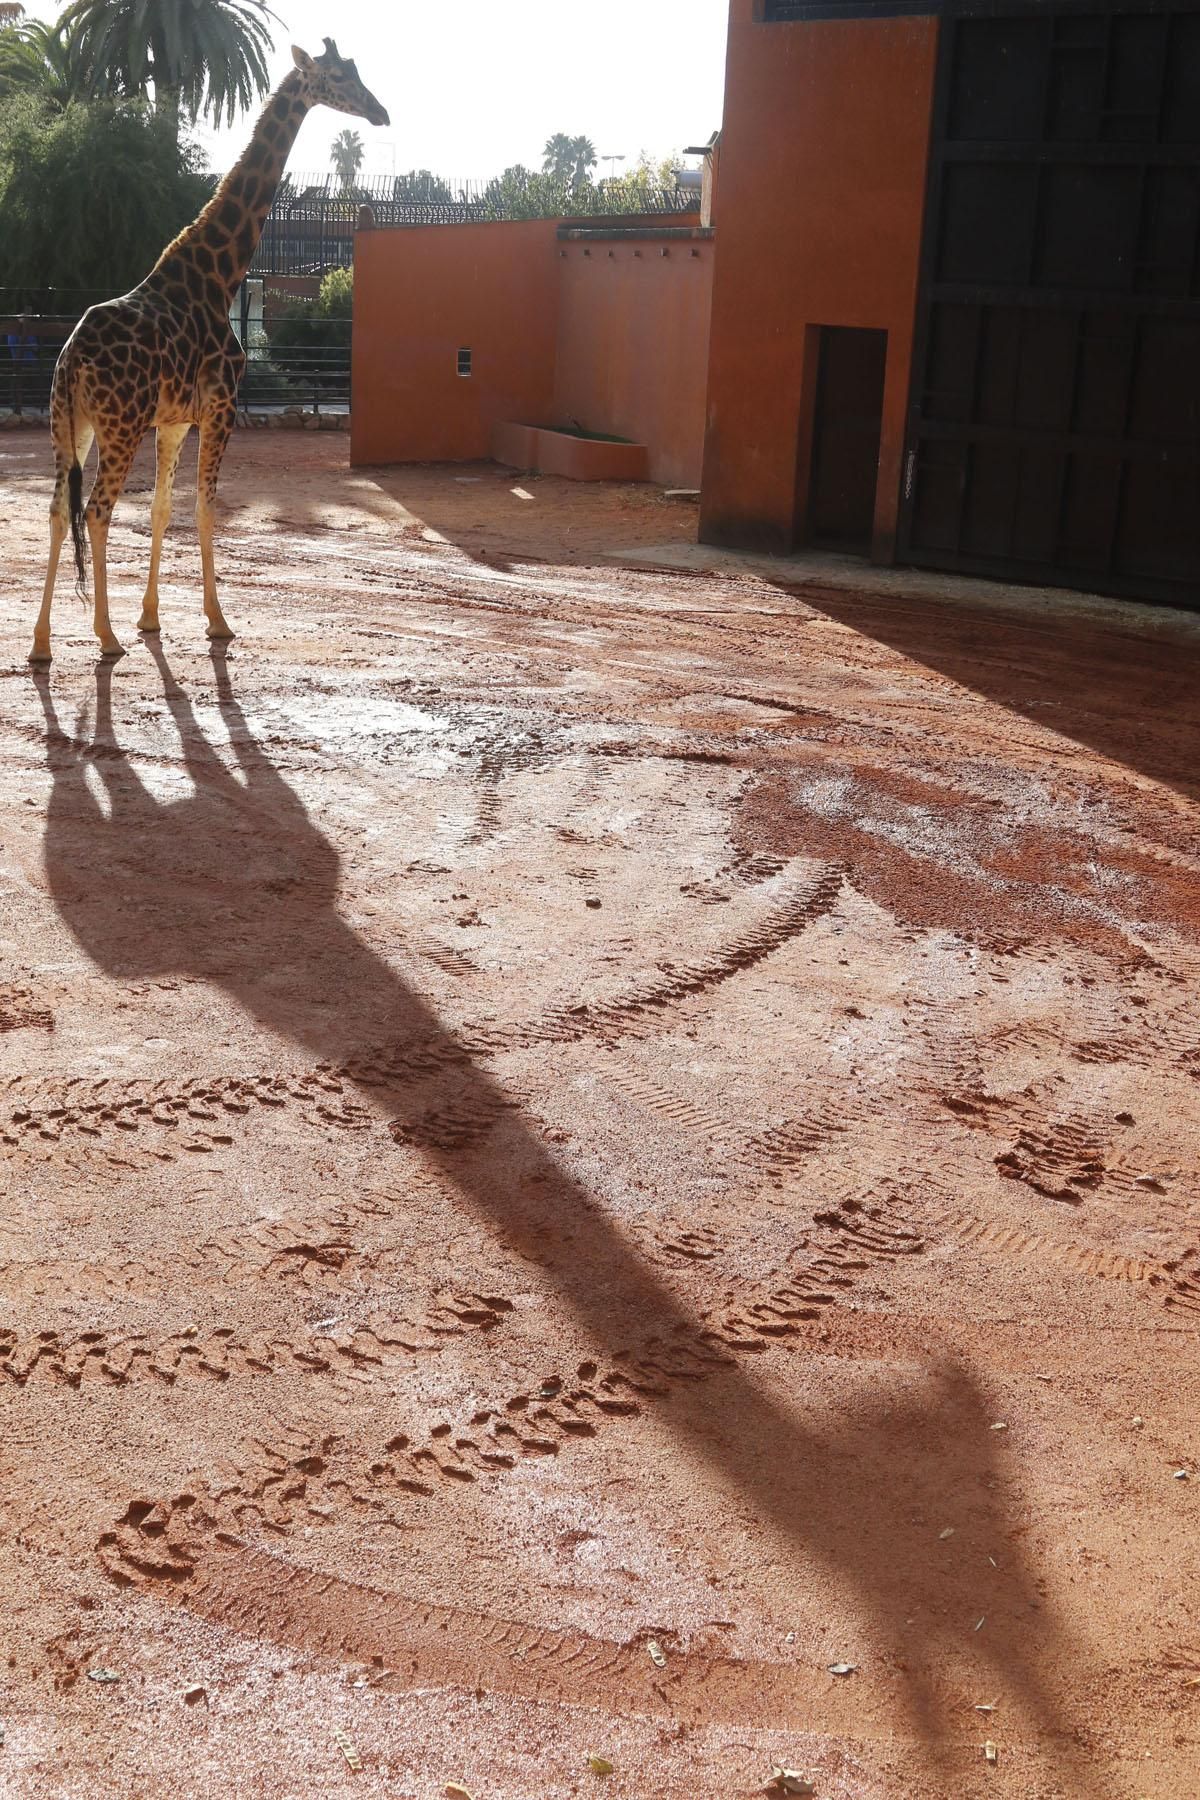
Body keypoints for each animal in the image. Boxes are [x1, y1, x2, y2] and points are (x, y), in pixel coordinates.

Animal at [30, 38, 390, 666]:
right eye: (342, 77)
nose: (380, 112)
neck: (221, 275)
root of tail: (70, 356)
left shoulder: (175, 420)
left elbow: (162, 508)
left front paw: (151, 618)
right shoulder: (220, 407)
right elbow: (204, 507)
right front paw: (217, 622)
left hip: (70, 424)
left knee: (56, 510)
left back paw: (41, 644)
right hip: (119, 426)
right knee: (95, 510)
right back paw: (104, 636)